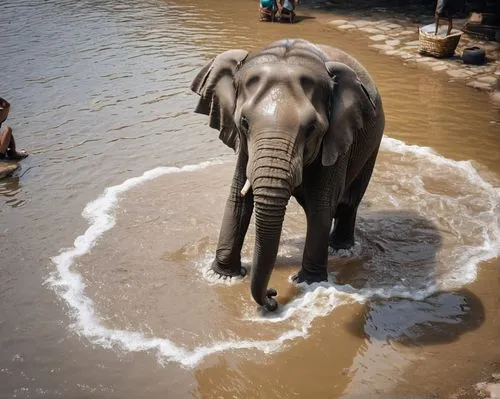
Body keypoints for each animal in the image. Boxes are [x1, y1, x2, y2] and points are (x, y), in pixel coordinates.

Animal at [189, 38, 384, 312]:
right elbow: (238, 200)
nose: (273, 295)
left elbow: (320, 207)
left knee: (348, 202)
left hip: (372, 143)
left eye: (312, 128)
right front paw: (222, 275)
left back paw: (341, 249)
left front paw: (309, 283)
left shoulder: (335, 139)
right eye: (244, 122)